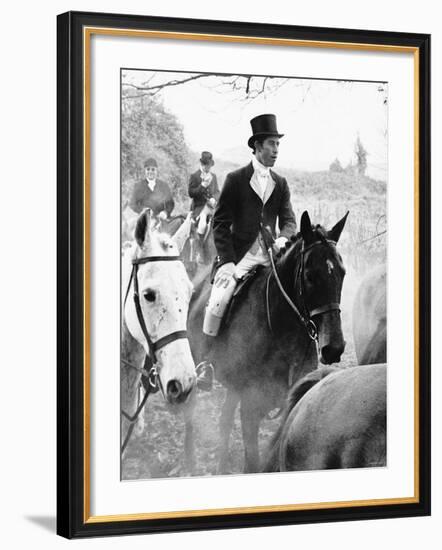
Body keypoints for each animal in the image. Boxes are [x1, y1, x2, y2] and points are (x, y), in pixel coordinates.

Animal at [186, 211, 348, 474]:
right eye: (309, 276)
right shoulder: (250, 409)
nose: (333, 348)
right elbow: (252, 462)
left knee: (224, 420)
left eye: (342, 273)